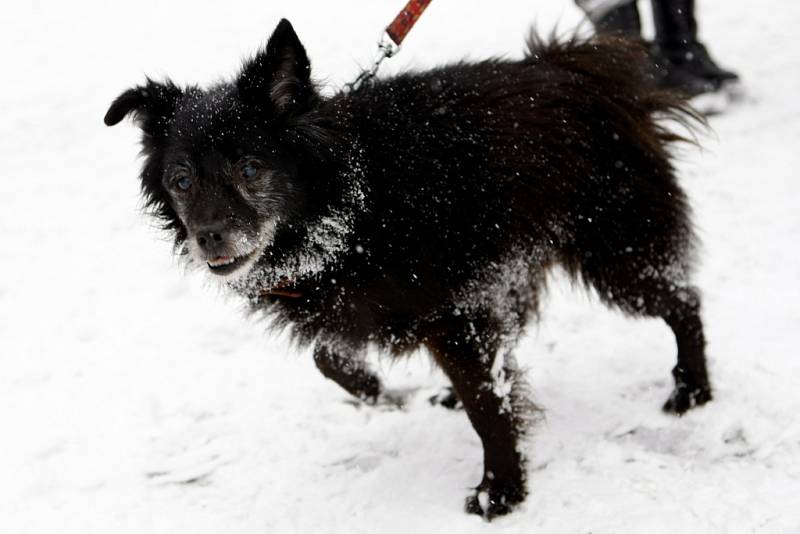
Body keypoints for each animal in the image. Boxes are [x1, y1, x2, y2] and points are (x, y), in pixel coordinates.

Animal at [104, 18, 712, 520]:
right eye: (181, 180)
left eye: (250, 168)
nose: (208, 237)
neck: (353, 208)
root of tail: (574, 69)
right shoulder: (370, 301)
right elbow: (331, 357)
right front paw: (377, 390)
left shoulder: (452, 307)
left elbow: (488, 407)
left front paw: (501, 491)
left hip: (617, 255)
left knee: (684, 303)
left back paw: (692, 390)